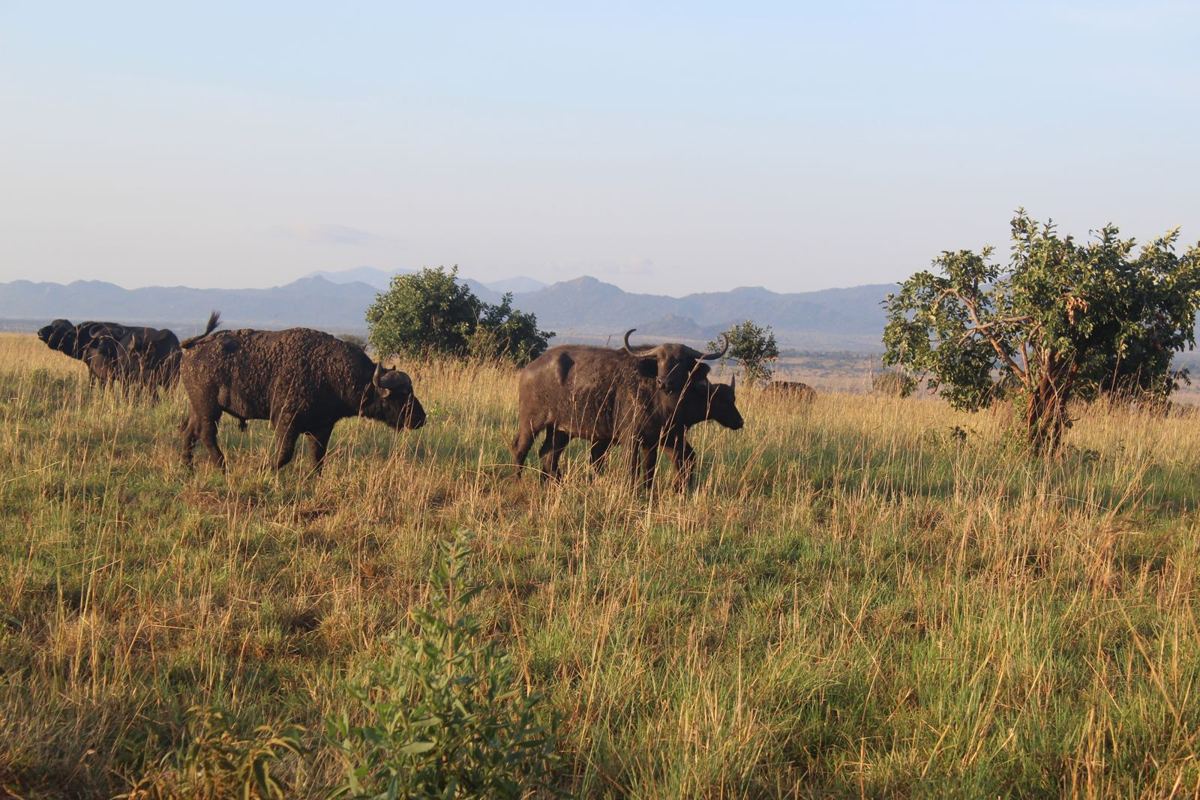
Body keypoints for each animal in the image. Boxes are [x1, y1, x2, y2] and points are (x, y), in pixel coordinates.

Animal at [179, 324, 426, 471]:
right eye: (401, 395)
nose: (421, 418)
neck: (330, 372)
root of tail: (192, 347)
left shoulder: (322, 428)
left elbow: (318, 458)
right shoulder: (286, 423)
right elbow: (284, 455)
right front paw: (265, 469)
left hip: (197, 408)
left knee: (189, 432)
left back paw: (188, 467)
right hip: (209, 408)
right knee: (206, 435)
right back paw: (222, 467)